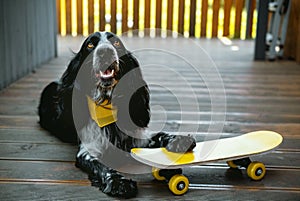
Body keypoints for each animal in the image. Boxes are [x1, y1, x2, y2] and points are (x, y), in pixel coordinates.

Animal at [37, 31, 196, 198]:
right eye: (90, 44)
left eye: (117, 43)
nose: (105, 52)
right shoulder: (88, 150)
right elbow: (103, 166)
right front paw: (119, 182)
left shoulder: (137, 137)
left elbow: (158, 135)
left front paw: (180, 140)